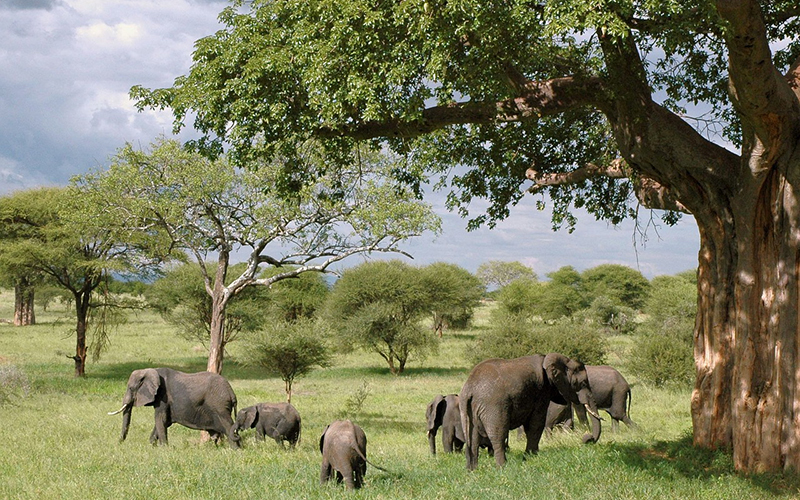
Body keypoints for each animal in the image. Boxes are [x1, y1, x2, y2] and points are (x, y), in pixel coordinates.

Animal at [108, 368, 241, 450]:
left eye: (131, 388)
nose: (119, 444)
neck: (150, 370)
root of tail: (231, 392)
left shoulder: (163, 397)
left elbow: (160, 419)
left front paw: (163, 448)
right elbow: (164, 422)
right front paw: (152, 446)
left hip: (219, 406)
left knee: (228, 426)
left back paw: (236, 449)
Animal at [456, 352, 600, 468]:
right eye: (583, 383)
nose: (587, 438)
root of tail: (469, 389)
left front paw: (529, 457)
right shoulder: (541, 391)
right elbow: (536, 423)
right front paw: (530, 458)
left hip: (469, 409)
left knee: (473, 439)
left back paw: (473, 470)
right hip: (494, 406)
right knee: (498, 435)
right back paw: (503, 467)